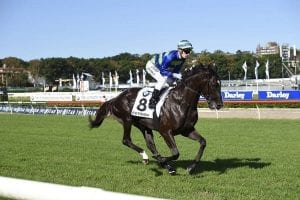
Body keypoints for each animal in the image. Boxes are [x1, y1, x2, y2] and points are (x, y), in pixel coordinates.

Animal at [89, 63, 223, 173]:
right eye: (214, 84)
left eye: (220, 84)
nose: (219, 104)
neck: (181, 102)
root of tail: (116, 98)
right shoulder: (166, 131)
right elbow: (176, 153)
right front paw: (163, 160)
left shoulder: (187, 130)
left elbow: (203, 142)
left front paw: (190, 167)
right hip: (127, 120)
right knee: (126, 140)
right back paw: (148, 157)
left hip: (143, 125)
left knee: (150, 144)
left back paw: (163, 164)